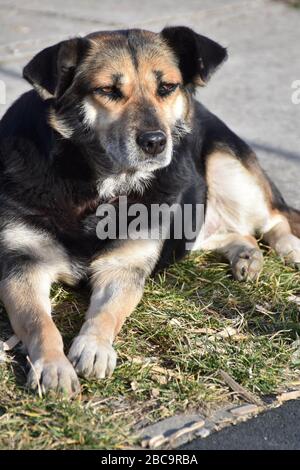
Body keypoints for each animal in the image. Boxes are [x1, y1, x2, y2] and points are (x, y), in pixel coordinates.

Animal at [0, 24, 300, 392]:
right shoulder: (22, 267)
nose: (156, 142)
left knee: (274, 219)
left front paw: (94, 347)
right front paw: (53, 365)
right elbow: (38, 322)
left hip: (227, 166)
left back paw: (289, 250)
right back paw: (247, 256)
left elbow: (107, 313)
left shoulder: (123, 268)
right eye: (107, 90)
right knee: (237, 233)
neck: (101, 186)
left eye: (167, 87)